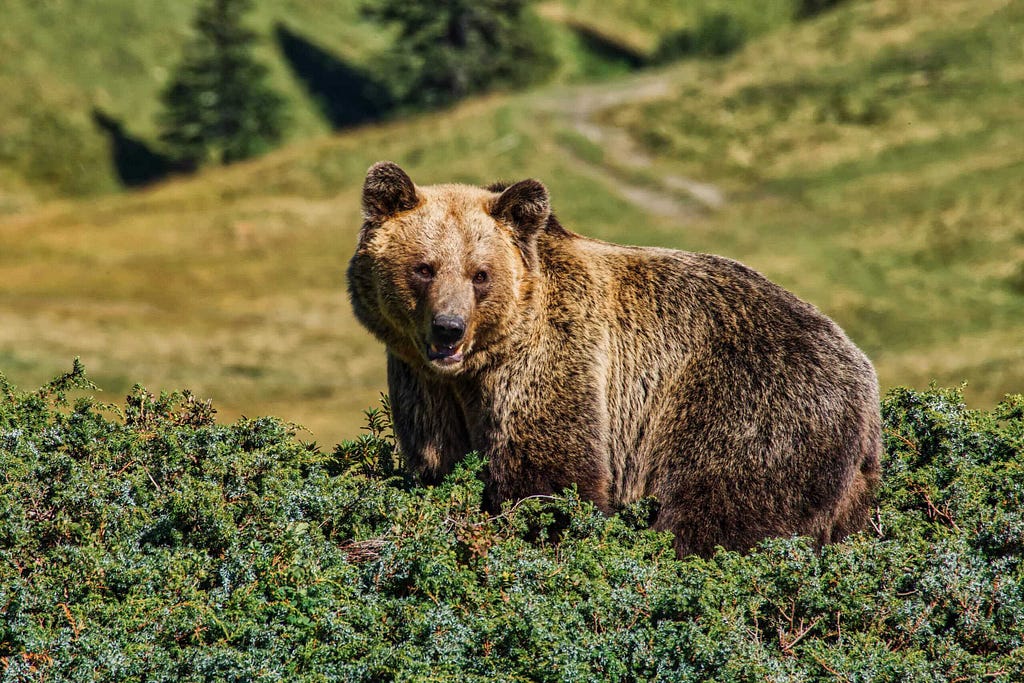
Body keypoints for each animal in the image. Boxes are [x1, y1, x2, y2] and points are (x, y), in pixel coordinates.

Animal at [346, 162, 880, 557]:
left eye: (480, 274)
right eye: (424, 268)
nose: (449, 327)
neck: (478, 367)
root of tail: (863, 377)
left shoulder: (552, 361)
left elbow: (550, 474)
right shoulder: (423, 384)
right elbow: (437, 461)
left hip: (748, 406)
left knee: (713, 514)